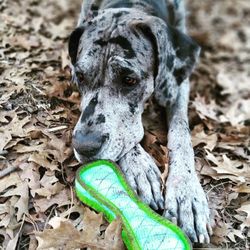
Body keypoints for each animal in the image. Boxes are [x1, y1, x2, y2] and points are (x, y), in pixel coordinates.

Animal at [68, 0, 211, 243]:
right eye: (81, 76)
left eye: (129, 79)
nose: (85, 146)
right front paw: (139, 168)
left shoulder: (177, 82)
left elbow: (181, 132)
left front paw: (186, 192)